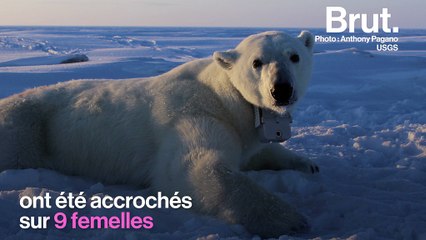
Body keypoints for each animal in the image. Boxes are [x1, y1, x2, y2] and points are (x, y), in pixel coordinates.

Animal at [0, 30, 318, 238]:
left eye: (294, 56)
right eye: (256, 62)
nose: (281, 89)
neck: (221, 95)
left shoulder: (238, 128)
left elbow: (256, 151)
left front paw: (307, 164)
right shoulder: (193, 115)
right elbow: (195, 167)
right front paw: (291, 219)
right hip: (27, 127)